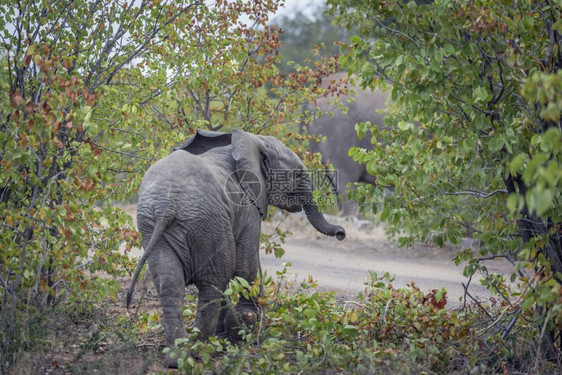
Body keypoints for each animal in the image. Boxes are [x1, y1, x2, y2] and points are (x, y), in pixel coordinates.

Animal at [127, 129, 344, 368]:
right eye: (297, 175)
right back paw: (202, 349)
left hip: (154, 226)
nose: (341, 234)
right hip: (209, 223)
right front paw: (244, 324)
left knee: (170, 284)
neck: (254, 140)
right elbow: (246, 264)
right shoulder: (248, 206)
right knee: (215, 280)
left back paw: (177, 358)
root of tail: (167, 205)